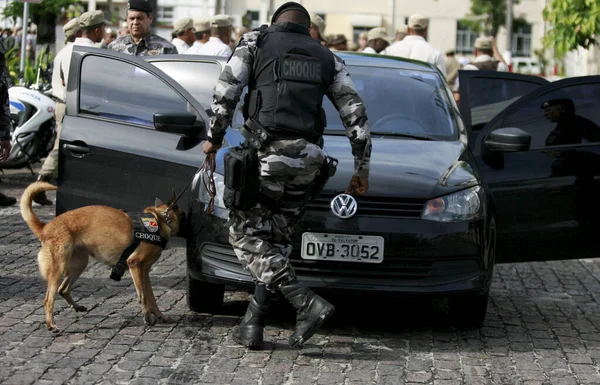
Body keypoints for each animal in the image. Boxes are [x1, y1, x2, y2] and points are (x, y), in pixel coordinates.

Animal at [19, 182, 184, 332]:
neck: (161, 220)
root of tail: (45, 227)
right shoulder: (135, 265)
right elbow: (143, 296)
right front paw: (147, 317)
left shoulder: (145, 272)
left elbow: (152, 298)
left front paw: (159, 315)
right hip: (58, 269)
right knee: (48, 299)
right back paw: (50, 324)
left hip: (79, 264)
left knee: (63, 289)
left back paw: (77, 307)